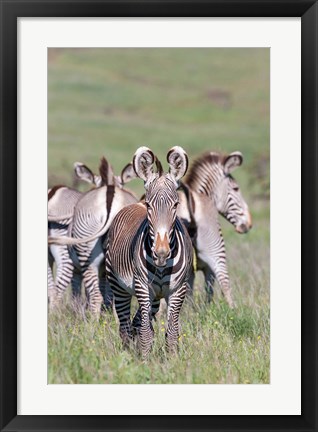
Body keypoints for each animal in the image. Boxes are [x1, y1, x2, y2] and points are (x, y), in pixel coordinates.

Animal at [105, 147, 193, 356]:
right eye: (149, 205)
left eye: (176, 205)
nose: (161, 253)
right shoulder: (143, 287)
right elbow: (145, 332)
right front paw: (144, 360)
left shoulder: (178, 290)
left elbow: (171, 332)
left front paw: (172, 360)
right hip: (118, 285)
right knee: (125, 327)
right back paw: (127, 353)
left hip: (155, 297)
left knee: (136, 323)